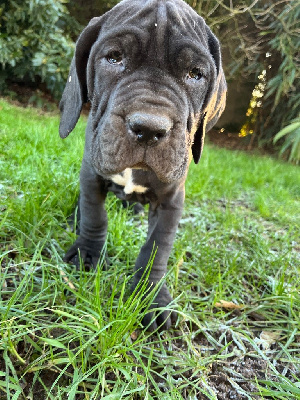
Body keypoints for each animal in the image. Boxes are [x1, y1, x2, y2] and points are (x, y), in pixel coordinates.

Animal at [59, 0, 226, 332]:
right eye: (114, 57)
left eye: (195, 74)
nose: (149, 128)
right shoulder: (91, 174)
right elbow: (95, 216)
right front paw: (87, 253)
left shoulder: (171, 200)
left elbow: (156, 247)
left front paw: (152, 297)